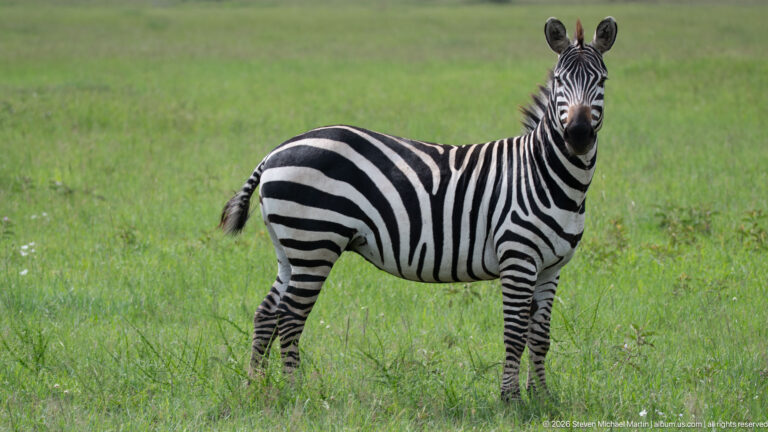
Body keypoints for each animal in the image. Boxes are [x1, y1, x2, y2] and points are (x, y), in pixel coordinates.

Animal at [220, 17, 617, 401]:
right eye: (560, 81)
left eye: (602, 80)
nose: (578, 135)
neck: (544, 174)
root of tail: (275, 152)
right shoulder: (518, 259)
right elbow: (516, 333)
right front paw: (511, 399)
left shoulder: (551, 267)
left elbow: (540, 336)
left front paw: (543, 397)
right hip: (314, 244)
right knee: (290, 318)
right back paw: (295, 392)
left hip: (290, 249)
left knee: (267, 313)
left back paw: (256, 386)